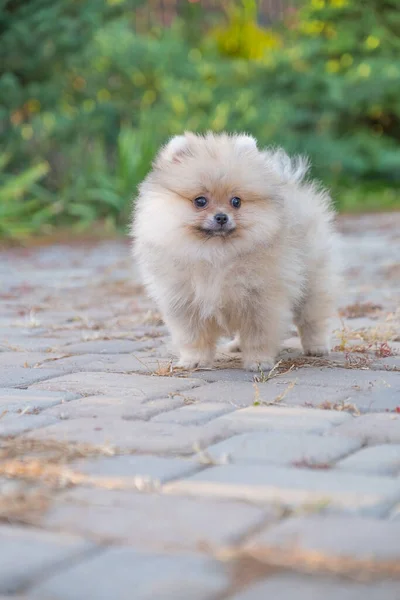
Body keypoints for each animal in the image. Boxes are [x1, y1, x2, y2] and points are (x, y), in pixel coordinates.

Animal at [131, 132, 338, 370]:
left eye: (236, 201)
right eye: (200, 201)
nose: (221, 217)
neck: (215, 252)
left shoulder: (262, 300)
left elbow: (259, 335)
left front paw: (258, 361)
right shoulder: (185, 302)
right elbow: (193, 337)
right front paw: (195, 360)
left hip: (312, 282)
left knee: (312, 318)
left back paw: (316, 346)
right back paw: (237, 346)